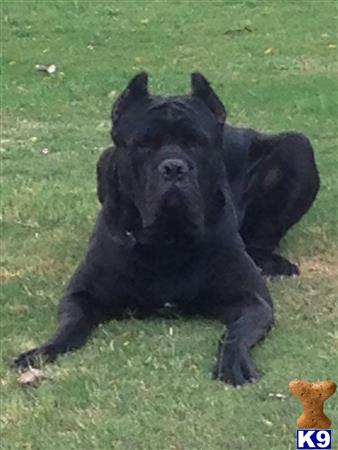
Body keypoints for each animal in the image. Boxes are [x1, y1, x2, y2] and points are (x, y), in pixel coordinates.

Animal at [13, 74, 320, 386]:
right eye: (144, 144)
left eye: (196, 142)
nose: (174, 167)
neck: (166, 239)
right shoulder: (81, 293)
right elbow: (70, 326)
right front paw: (42, 351)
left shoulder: (252, 300)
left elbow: (235, 334)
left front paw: (234, 363)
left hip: (296, 147)